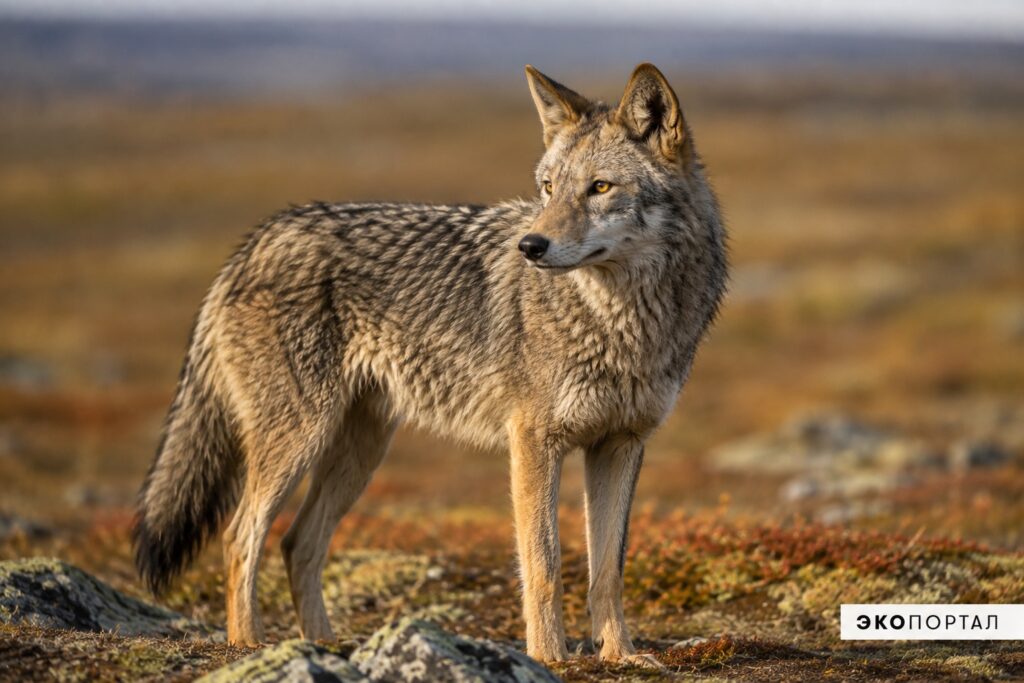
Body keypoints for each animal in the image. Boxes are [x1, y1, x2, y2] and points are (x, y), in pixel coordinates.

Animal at [133, 63, 727, 663]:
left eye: (600, 188)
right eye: (548, 188)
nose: (530, 246)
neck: (621, 319)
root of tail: (255, 240)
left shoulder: (620, 446)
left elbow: (608, 570)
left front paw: (620, 655)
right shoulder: (535, 443)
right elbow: (544, 565)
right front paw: (548, 659)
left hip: (358, 453)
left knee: (297, 542)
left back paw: (324, 645)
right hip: (300, 441)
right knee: (240, 536)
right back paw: (250, 647)